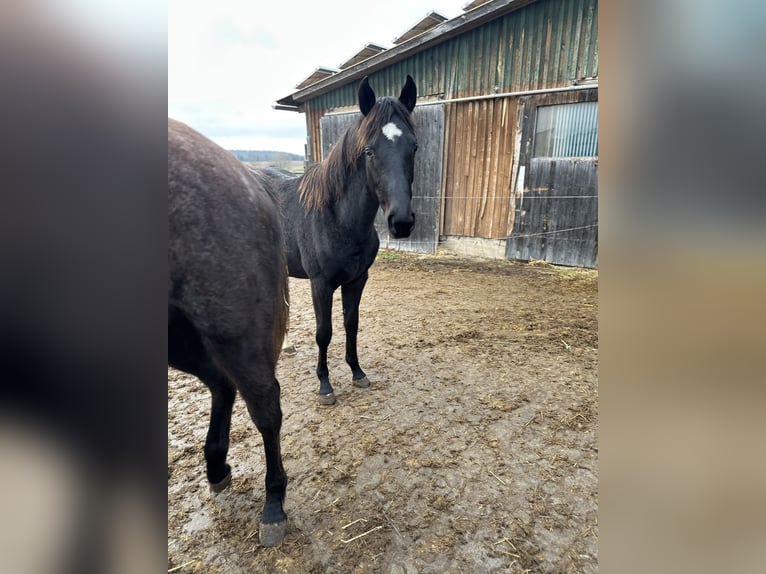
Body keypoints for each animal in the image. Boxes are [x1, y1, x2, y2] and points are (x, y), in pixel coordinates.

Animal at [169, 119, 292, 548]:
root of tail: (251, 179)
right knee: (222, 383)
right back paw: (216, 466)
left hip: (228, 327)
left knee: (263, 405)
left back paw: (273, 504)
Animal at [255, 76, 416, 408]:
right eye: (369, 151)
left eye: (415, 147)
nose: (402, 222)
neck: (338, 219)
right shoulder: (321, 284)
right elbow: (324, 332)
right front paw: (325, 385)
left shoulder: (357, 279)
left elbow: (350, 324)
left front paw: (357, 372)